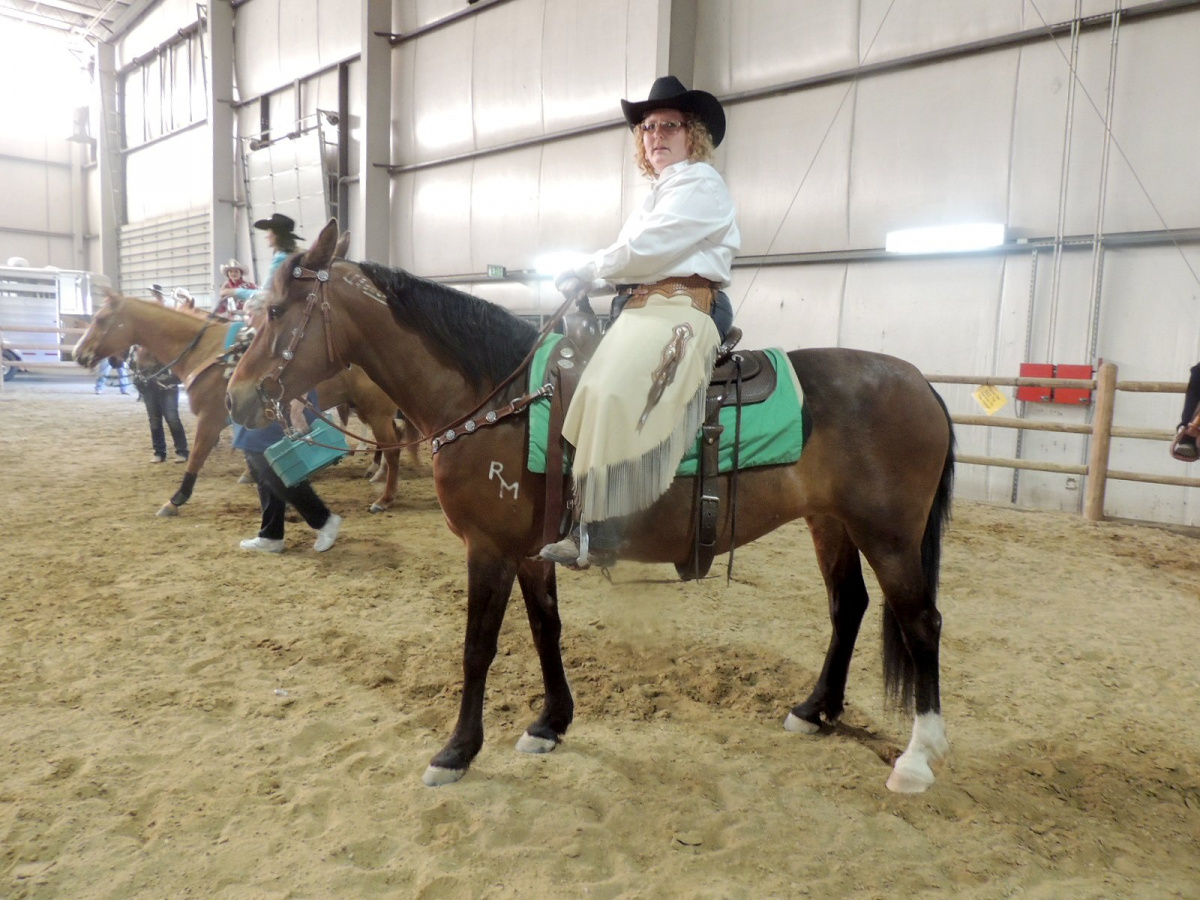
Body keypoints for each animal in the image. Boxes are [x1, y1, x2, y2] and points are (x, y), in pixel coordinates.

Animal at [73, 296, 408, 518]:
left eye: (100, 320)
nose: (78, 354)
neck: (211, 354)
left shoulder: (210, 420)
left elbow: (196, 458)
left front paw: (176, 499)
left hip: (376, 411)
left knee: (393, 449)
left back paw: (385, 498)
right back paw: (376, 475)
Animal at [225, 220, 955, 796]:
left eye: (280, 309)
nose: (235, 396)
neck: (499, 399)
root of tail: (920, 382)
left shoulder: (488, 549)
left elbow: (477, 647)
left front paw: (457, 752)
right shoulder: (529, 553)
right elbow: (546, 630)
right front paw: (551, 724)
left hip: (890, 536)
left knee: (922, 623)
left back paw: (919, 758)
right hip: (831, 523)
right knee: (848, 606)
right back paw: (814, 709)